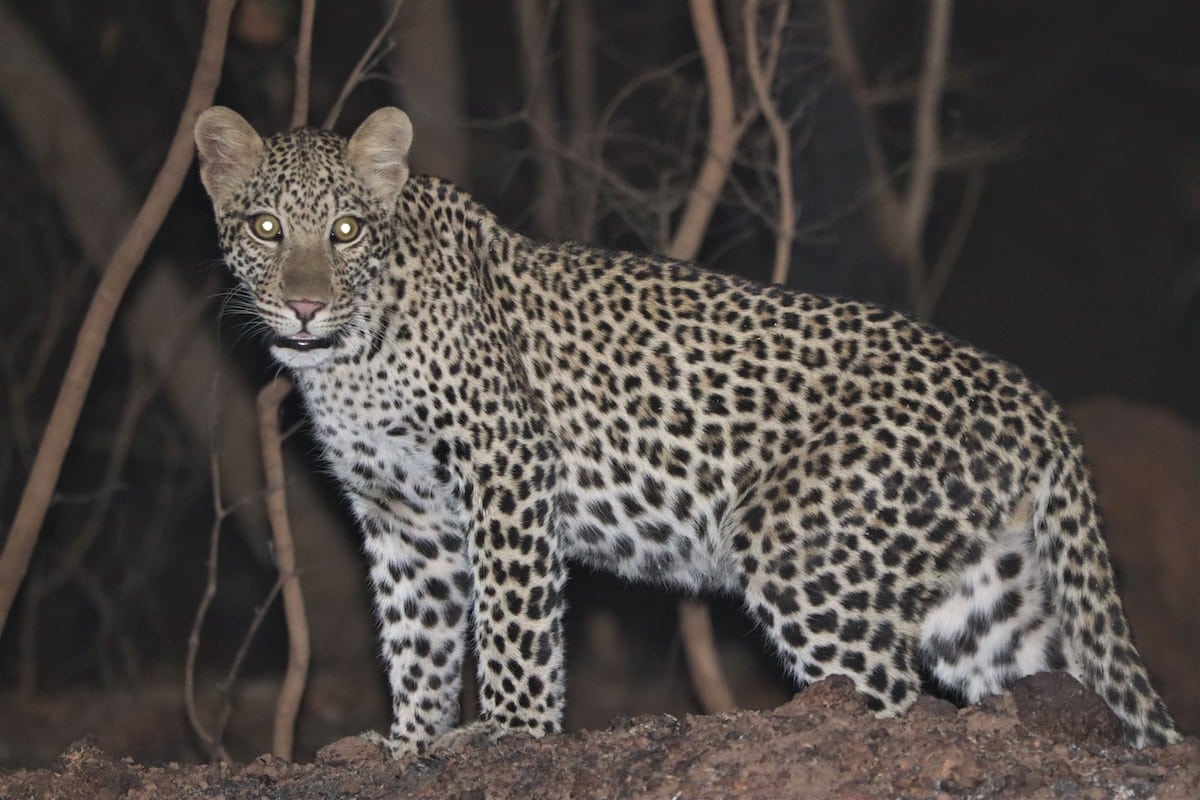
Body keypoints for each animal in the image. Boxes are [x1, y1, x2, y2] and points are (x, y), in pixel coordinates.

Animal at [196, 104, 1180, 753]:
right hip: (978, 597)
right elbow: (416, 636)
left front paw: (512, 733)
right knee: (1059, 681)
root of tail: (1034, 398)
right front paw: (409, 742)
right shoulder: (404, 516)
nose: (305, 305)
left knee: (898, 695)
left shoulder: (507, 467)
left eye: (347, 230)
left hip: (803, 551)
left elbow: (514, 621)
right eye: (268, 227)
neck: (347, 359)